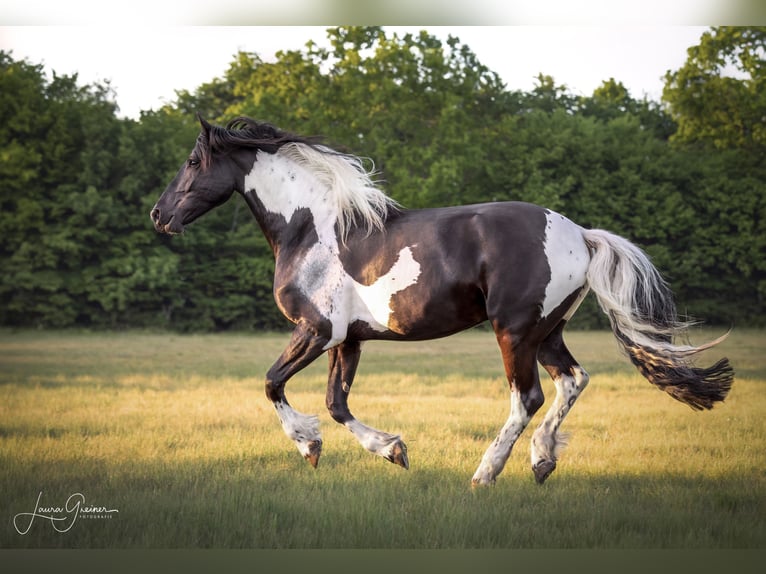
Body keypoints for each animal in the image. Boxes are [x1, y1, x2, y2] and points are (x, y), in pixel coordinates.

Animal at [150, 116, 734, 486]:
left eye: (192, 161)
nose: (160, 215)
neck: (310, 228)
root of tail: (580, 235)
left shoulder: (316, 331)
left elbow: (273, 383)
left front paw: (308, 446)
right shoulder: (348, 340)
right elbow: (337, 404)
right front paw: (392, 450)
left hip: (513, 331)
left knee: (526, 398)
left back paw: (484, 474)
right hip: (547, 331)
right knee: (572, 381)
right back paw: (541, 462)